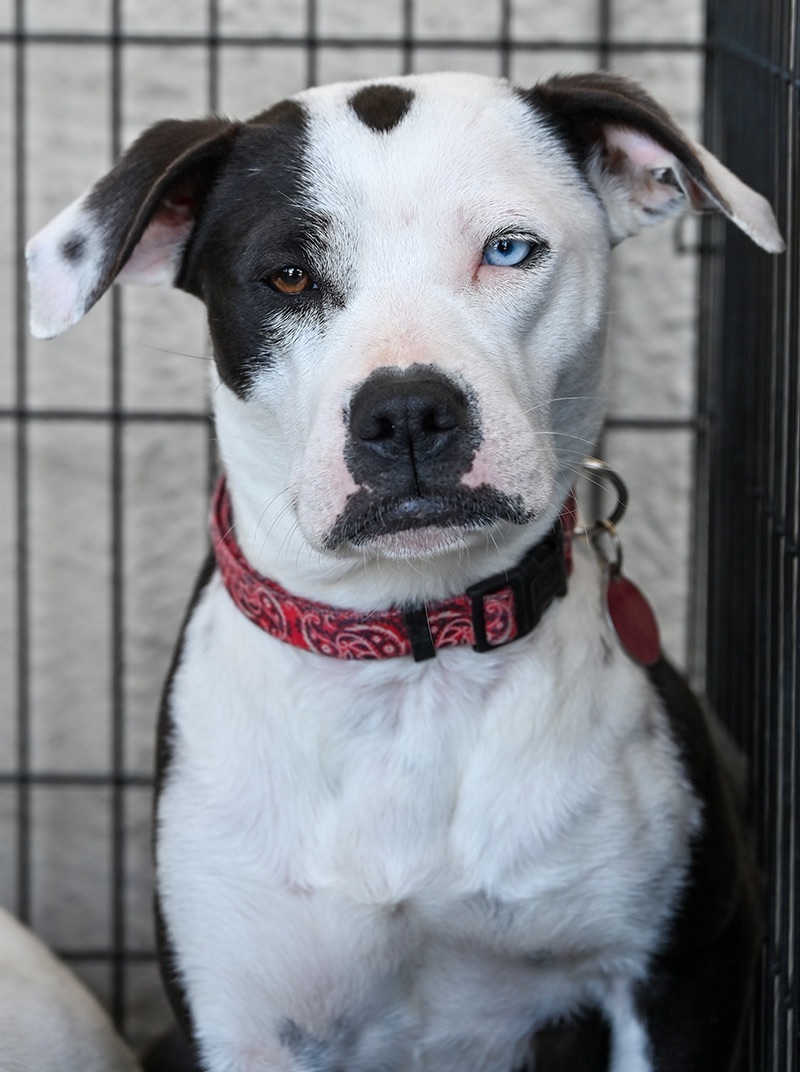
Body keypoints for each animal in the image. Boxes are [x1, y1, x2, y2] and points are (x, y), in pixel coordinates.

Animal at [29, 69, 780, 1072]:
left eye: (509, 249)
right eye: (289, 276)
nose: (408, 412)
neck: (410, 667)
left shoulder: (685, 966)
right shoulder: (240, 1021)